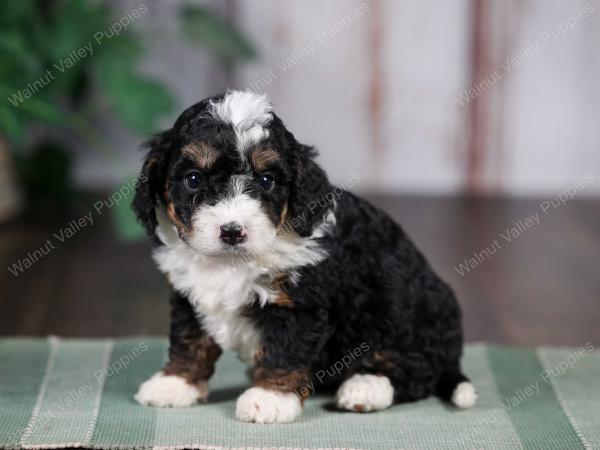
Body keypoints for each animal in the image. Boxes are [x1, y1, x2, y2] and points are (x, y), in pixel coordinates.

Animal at [132, 90, 478, 422]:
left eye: (266, 181)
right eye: (193, 179)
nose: (232, 231)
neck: (232, 262)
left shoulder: (301, 305)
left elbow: (285, 349)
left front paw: (269, 397)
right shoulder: (188, 295)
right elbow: (189, 338)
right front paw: (175, 383)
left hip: (403, 315)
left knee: (416, 370)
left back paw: (366, 386)